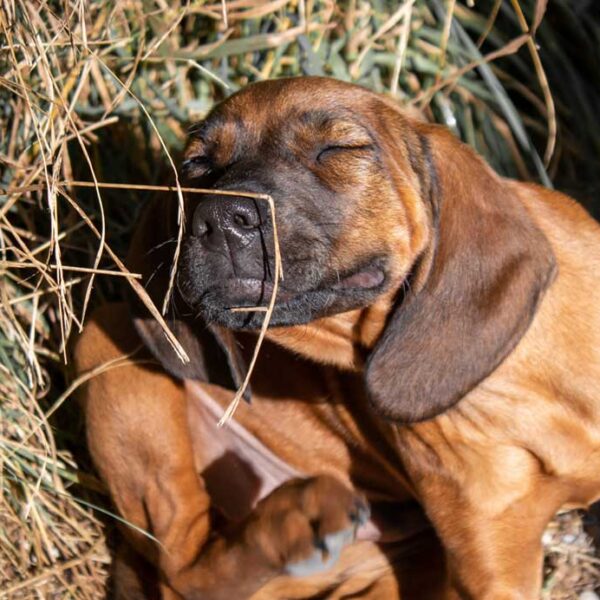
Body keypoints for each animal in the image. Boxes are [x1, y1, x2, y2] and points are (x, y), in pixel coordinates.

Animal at [74, 77, 600, 596]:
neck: (512, 388)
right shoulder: (491, 570)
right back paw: (297, 518)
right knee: (183, 570)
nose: (222, 219)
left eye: (338, 149)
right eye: (197, 163)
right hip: (105, 336)